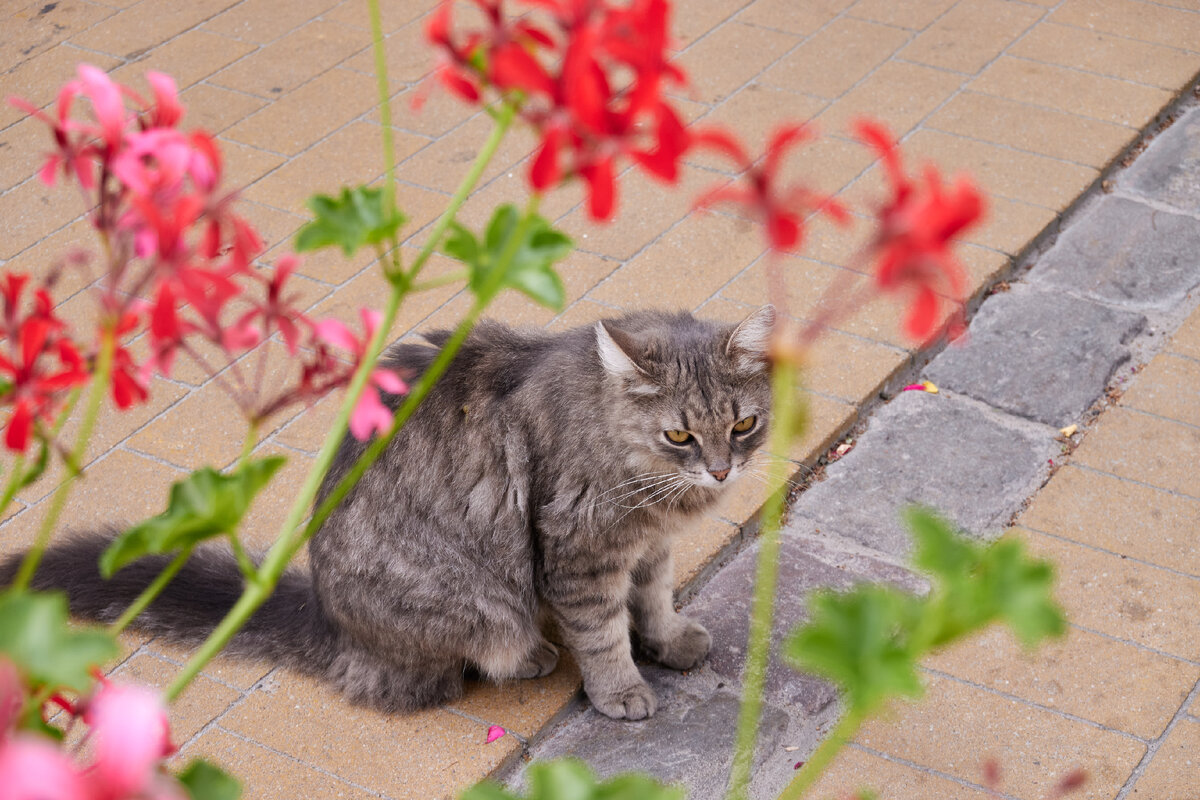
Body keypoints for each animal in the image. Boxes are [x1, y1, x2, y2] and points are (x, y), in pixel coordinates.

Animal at [4, 304, 772, 719]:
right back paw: (529, 655)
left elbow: (655, 600)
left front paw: (668, 641)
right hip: (478, 601)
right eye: (680, 435)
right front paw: (622, 690)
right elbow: (606, 633)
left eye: (742, 425)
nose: (721, 468)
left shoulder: (649, 545)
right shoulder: (580, 554)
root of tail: (330, 618)